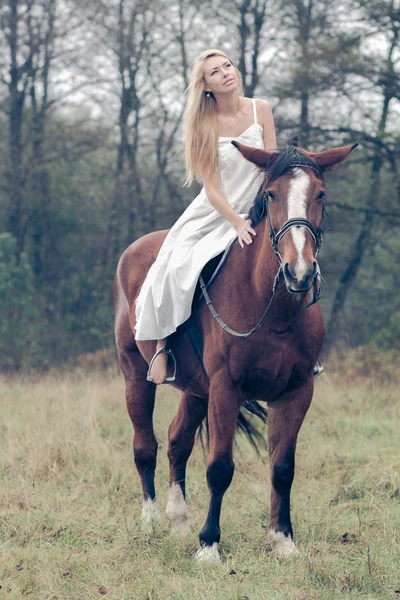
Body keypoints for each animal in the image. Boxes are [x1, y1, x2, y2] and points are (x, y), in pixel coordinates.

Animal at [114, 138, 358, 560]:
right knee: (145, 446)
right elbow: (220, 468)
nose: (299, 272)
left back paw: (179, 522)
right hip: (135, 375)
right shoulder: (226, 389)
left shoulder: (297, 391)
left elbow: (283, 468)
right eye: (271, 194)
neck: (273, 308)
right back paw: (150, 523)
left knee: (177, 442)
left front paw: (283, 540)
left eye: (321, 194)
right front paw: (209, 544)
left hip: (197, 389)